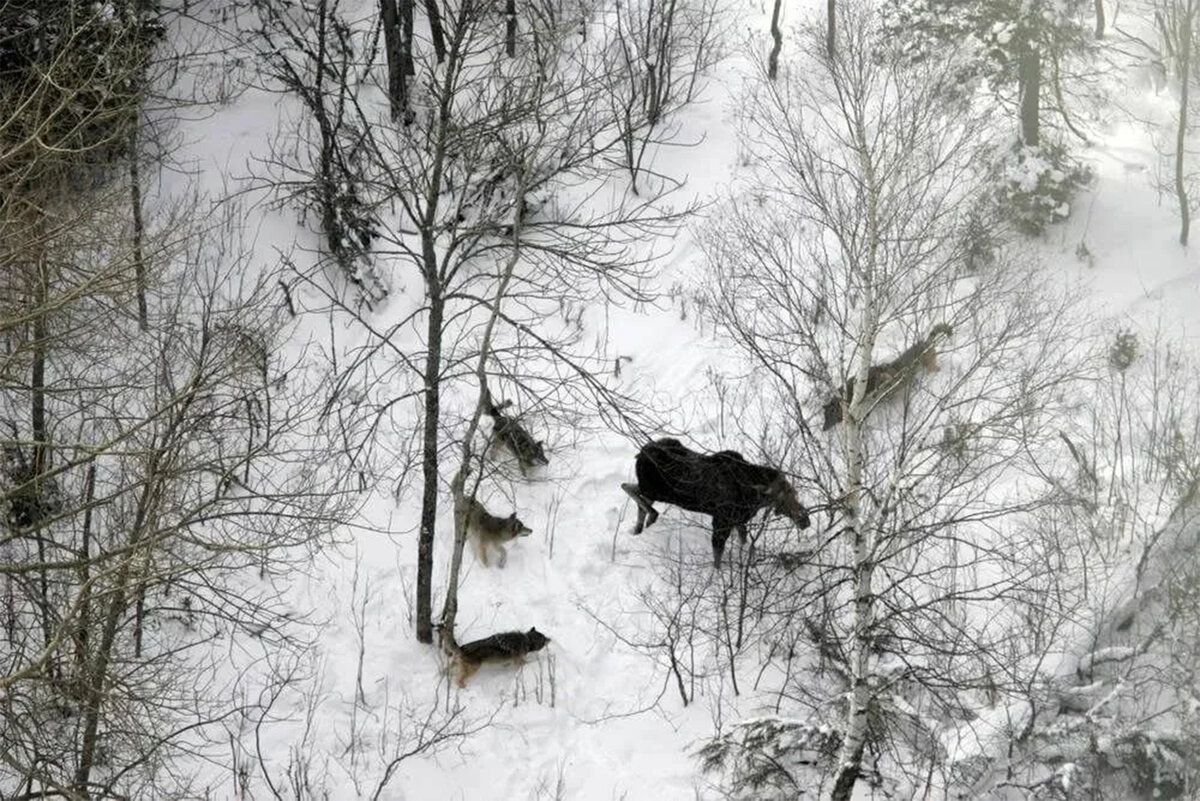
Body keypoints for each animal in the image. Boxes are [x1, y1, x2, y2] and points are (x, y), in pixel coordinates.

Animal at [624, 441, 811, 565]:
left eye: (795, 493)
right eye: (780, 498)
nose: (805, 520)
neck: (751, 496)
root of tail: (640, 453)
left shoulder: (739, 520)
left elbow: (745, 542)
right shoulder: (721, 522)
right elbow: (718, 558)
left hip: (654, 491)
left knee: (634, 494)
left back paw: (641, 527)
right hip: (655, 490)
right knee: (628, 488)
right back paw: (651, 516)